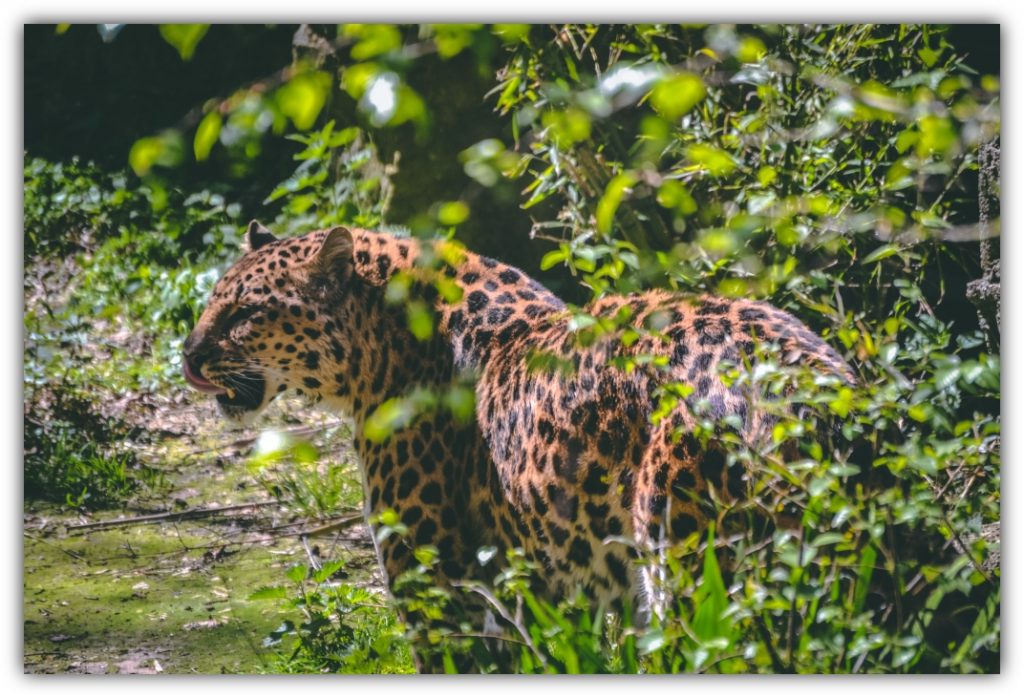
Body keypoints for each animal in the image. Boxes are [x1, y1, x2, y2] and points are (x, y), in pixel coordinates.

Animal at [183, 220, 855, 648]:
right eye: (212, 300)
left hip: (693, 574)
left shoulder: (438, 595)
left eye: (245, 313)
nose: (186, 355)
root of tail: (806, 389)